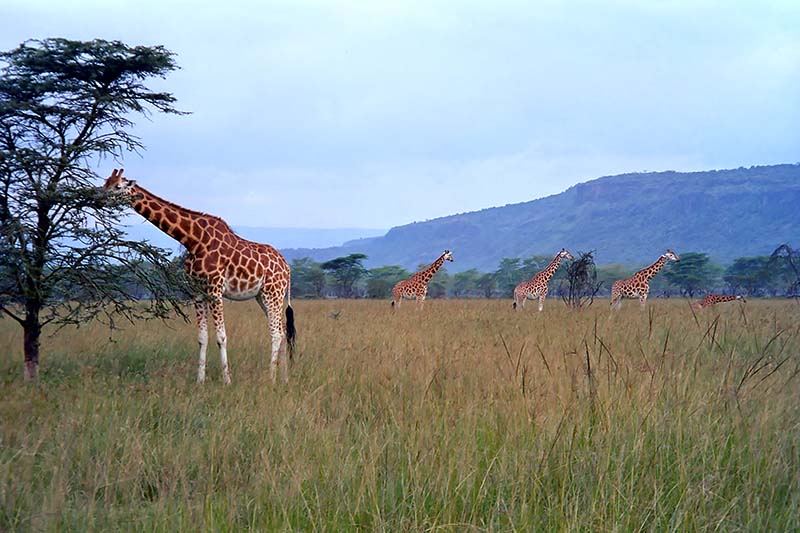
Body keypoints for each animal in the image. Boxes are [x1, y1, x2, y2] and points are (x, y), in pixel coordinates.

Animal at [103, 169, 296, 382]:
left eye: (117, 187)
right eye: (105, 183)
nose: (97, 197)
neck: (193, 240)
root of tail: (287, 268)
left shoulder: (215, 289)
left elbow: (221, 337)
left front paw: (227, 380)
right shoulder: (196, 290)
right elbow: (202, 338)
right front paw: (200, 381)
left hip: (273, 293)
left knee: (276, 333)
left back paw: (271, 379)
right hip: (262, 296)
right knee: (282, 330)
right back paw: (284, 378)